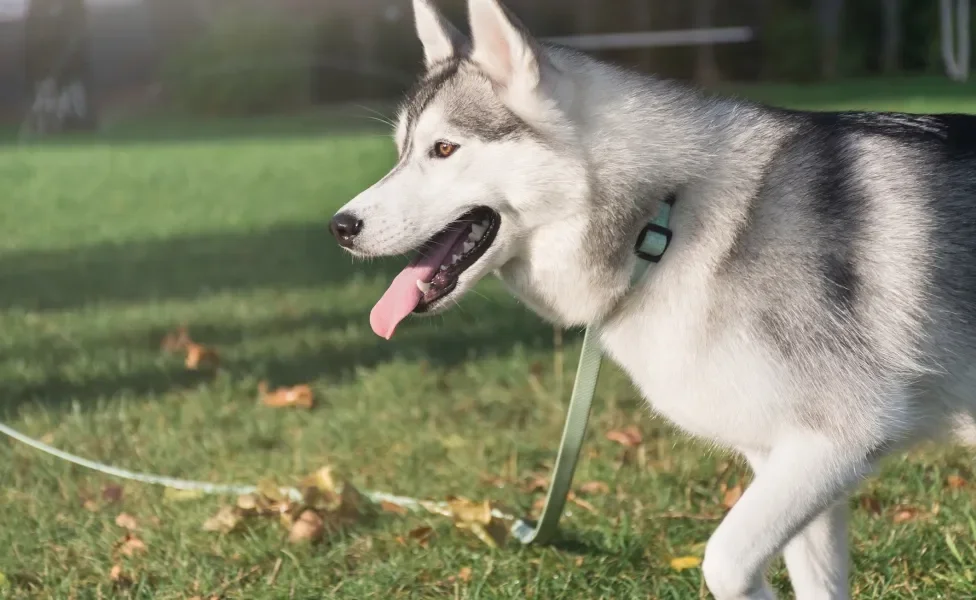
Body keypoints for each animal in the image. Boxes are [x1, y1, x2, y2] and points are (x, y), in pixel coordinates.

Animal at [332, 2, 976, 596]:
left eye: (444, 149)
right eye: (402, 151)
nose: (341, 226)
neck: (663, 222)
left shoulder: (840, 440)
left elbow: (725, 562)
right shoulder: (788, 459)